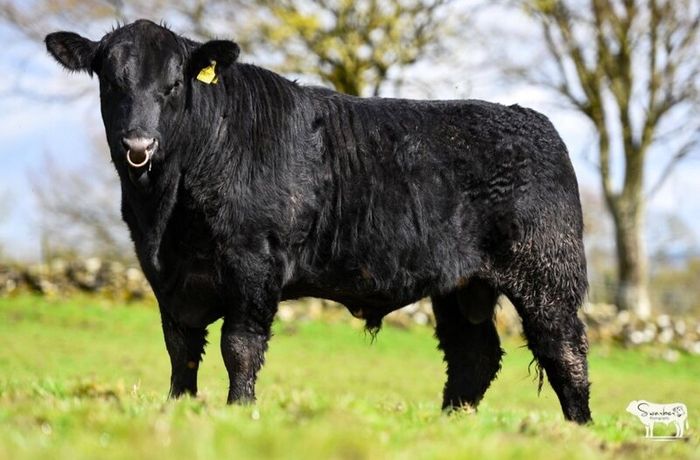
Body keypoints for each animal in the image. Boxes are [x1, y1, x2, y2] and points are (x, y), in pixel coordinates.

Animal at [45, 19, 591, 424]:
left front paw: (239, 412)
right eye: (112, 81)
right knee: (473, 355)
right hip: (461, 284)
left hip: (547, 272)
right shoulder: (165, 275)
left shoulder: (253, 263)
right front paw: (179, 408)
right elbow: (181, 349)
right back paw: (451, 425)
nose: (139, 144)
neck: (166, 213)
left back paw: (577, 430)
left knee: (565, 350)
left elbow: (238, 346)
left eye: (174, 84)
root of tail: (532, 120)